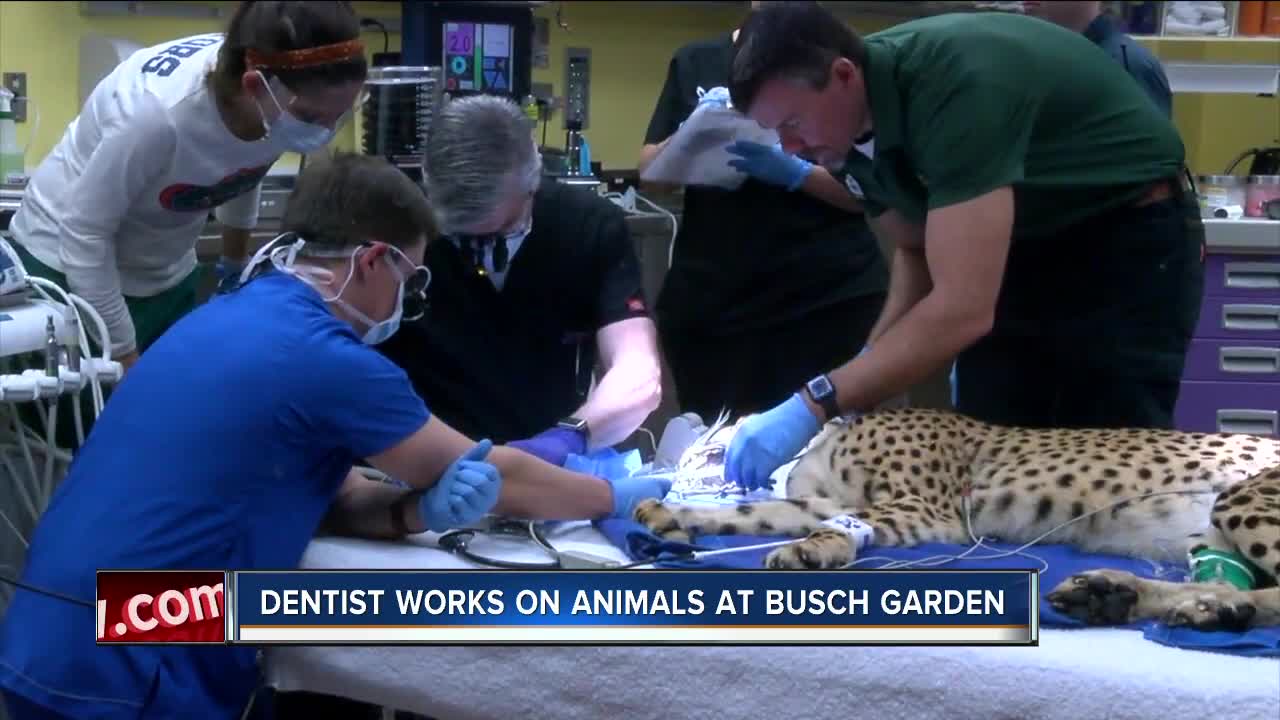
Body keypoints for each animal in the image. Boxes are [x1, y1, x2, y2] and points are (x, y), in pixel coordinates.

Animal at [637, 407, 1280, 630]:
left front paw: (812, 550)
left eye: (703, 452)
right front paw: (668, 515)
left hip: (1241, 501)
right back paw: (1127, 595)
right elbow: (754, 511)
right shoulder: (825, 502)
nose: (676, 468)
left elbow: (823, 524)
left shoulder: (930, 512)